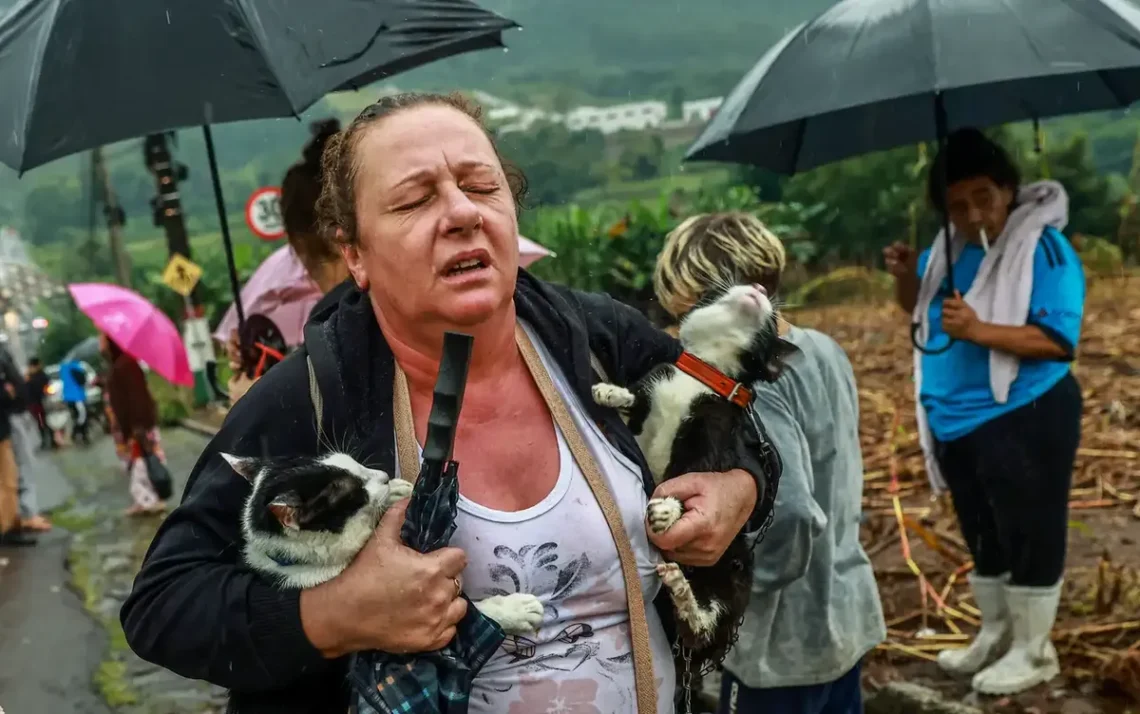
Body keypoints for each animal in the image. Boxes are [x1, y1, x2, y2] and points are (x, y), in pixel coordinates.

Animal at [224, 453, 544, 629]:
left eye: (355, 463)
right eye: (354, 492)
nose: (383, 474)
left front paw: (397, 491)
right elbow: (470, 615)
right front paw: (513, 611)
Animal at [592, 281, 788, 666]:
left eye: (772, 322)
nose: (759, 286)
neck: (706, 373)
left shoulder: (713, 430)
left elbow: (693, 473)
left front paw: (669, 508)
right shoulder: (654, 387)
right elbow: (634, 400)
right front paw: (609, 392)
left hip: (735, 568)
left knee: (702, 626)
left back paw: (684, 593)